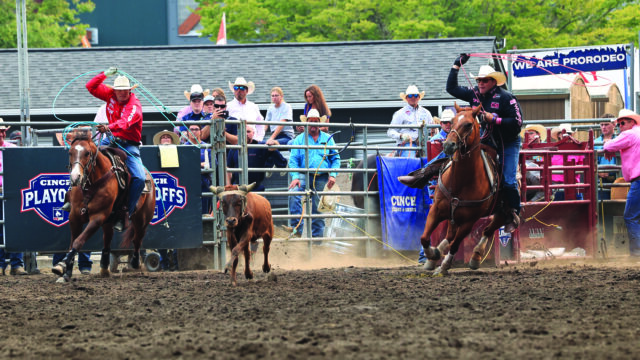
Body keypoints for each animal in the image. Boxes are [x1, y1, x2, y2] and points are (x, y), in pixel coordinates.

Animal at [52, 131, 155, 280]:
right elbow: (73, 242)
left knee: (137, 239)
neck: (91, 184)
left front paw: (63, 264)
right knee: (108, 239)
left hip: (142, 218)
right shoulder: (75, 216)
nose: (75, 177)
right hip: (109, 221)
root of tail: (149, 178)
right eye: (70, 152)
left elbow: (78, 241)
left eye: (87, 153)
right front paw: (65, 271)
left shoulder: (97, 217)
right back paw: (105, 267)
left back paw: (135, 262)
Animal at [420, 104, 510, 276]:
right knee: (450, 235)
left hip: (503, 210)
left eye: (468, 124)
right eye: (452, 121)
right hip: (452, 216)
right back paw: (434, 257)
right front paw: (432, 255)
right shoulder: (436, 210)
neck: (460, 181)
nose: (448, 145)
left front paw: (444, 266)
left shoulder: (469, 221)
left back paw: (475, 257)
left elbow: (456, 244)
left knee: (487, 230)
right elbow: (425, 237)